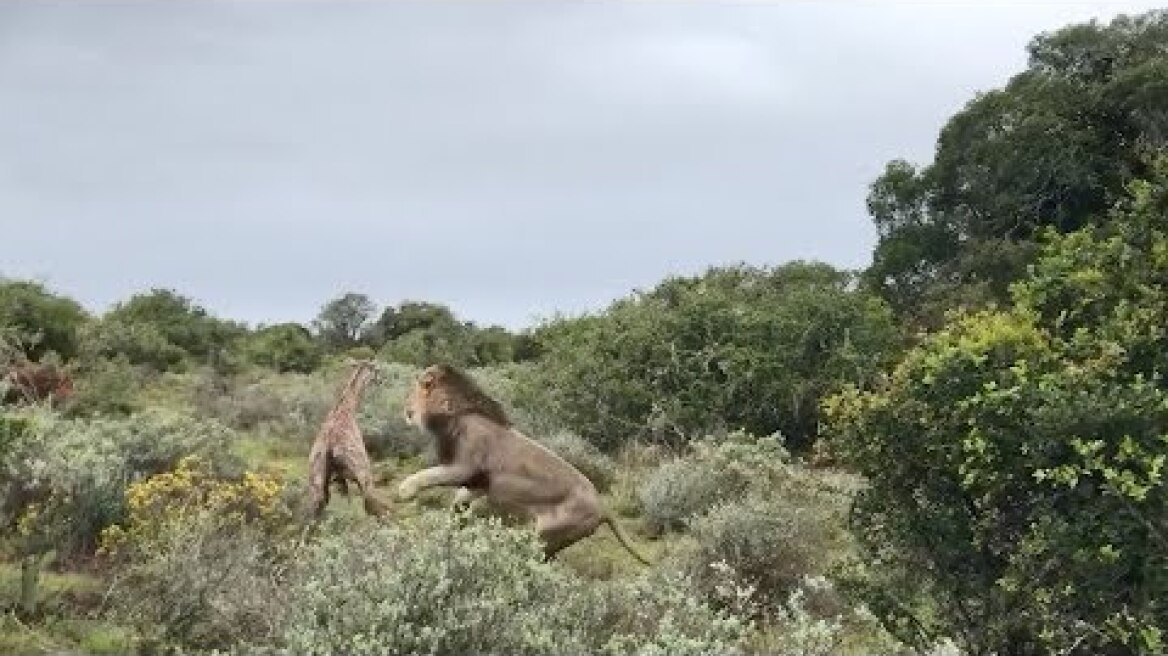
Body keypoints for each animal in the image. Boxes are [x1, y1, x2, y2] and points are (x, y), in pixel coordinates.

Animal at [306, 359, 390, 520]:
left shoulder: (339, 479)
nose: (382, 380)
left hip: (316, 480)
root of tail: (330, 448)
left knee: (315, 511)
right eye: (377, 370)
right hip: (363, 474)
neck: (347, 409)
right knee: (372, 506)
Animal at [396, 364, 650, 564]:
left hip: (547, 533)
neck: (451, 418)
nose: (405, 410)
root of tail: (603, 507)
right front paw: (456, 521)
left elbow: (429, 474)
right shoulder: (478, 481)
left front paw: (405, 490)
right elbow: (460, 498)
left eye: (414, 390)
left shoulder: (464, 467)